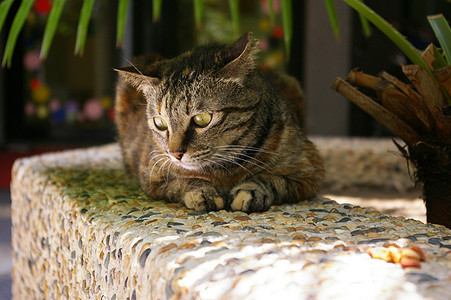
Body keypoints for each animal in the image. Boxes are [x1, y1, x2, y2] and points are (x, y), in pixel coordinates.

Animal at [115, 31, 324, 212]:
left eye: (202, 119)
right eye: (160, 123)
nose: (175, 154)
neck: (225, 170)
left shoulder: (308, 171)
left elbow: (270, 179)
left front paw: (252, 191)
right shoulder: (152, 178)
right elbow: (184, 181)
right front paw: (203, 191)